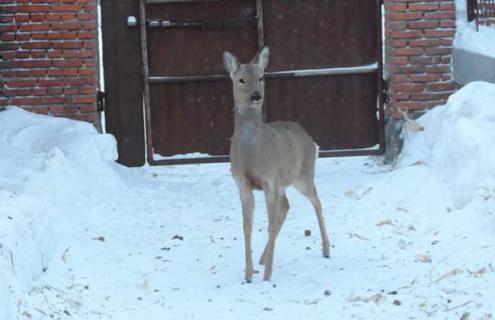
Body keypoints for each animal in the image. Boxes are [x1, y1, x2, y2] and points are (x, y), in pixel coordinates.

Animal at [224, 46, 330, 282]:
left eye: (261, 77)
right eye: (241, 79)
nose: (257, 96)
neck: (252, 155)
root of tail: (310, 139)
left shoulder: (269, 180)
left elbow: (270, 225)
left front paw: (267, 277)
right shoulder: (243, 184)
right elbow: (247, 226)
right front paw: (248, 275)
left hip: (304, 174)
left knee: (317, 201)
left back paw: (327, 249)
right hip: (284, 183)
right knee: (286, 206)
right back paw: (263, 259)